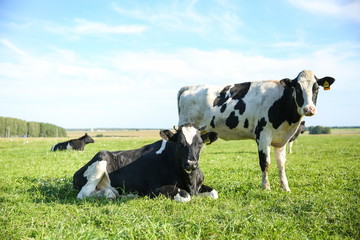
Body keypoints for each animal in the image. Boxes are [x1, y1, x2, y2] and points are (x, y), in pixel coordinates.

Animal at [72, 124, 218, 202]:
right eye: (179, 143)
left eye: (200, 143)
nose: (191, 163)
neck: (190, 181)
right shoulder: (154, 189)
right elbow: (185, 195)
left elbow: (214, 193)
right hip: (100, 159)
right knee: (83, 194)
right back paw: (110, 194)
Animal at [177, 69, 334, 191]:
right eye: (298, 88)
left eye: (316, 88)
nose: (309, 109)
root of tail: (188, 87)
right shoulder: (263, 135)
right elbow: (265, 162)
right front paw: (266, 187)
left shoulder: (281, 140)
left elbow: (281, 164)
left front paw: (285, 187)